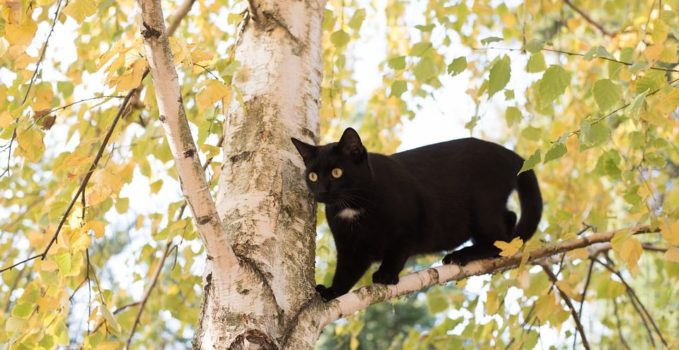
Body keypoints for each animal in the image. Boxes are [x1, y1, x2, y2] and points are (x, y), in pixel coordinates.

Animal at [290, 129, 540, 300]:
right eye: (312, 176)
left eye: (336, 172)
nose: (322, 191)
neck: (353, 207)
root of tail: (510, 154)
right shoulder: (351, 248)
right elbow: (346, 272)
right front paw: (332, 292)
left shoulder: (410, 224)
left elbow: (397, 252)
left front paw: (386, 275)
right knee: (508, 222)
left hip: (482, 205)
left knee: (498, 239)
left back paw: (461, 255)